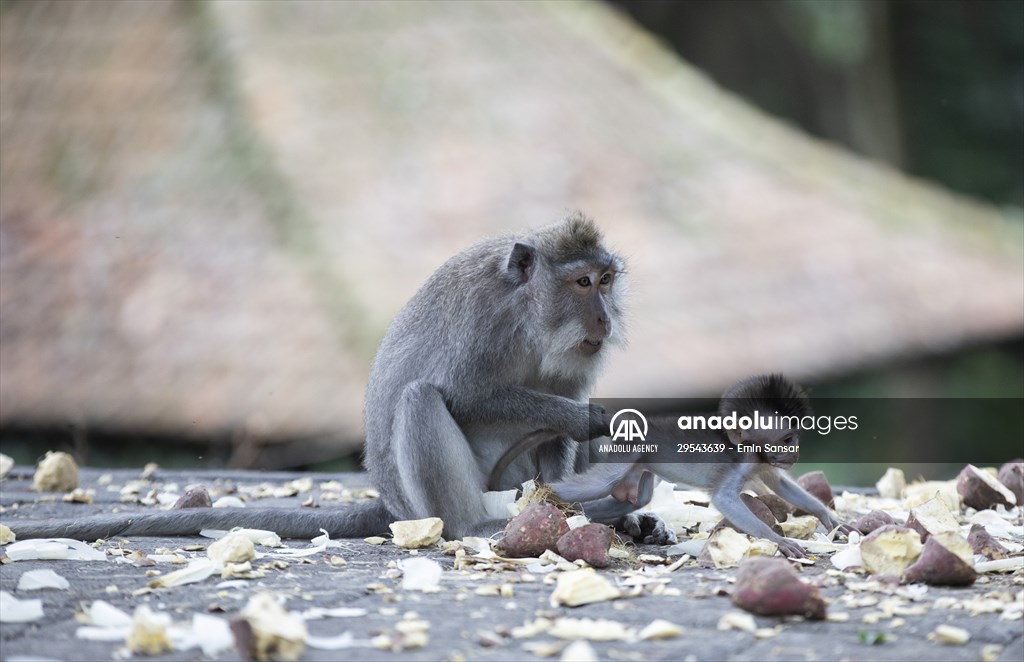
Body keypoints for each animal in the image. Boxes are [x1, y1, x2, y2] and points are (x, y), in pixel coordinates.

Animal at [11, 213, 645, 542]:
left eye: (606, 280)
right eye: (582, 283)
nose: (604, 318)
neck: (530, 319)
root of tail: (392, 508)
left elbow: (555, 436)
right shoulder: (483, 318)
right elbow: (468, 395)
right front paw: (585, 419)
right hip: (427, 502)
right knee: (419, 400)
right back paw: (472, 525)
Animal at [489, 374, 851, 558]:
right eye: (788, 438)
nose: (795, 453)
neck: (750, 453)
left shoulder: (760, 463)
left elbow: (780, 484)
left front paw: (830, 517)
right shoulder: (738, 465)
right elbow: (725, 500)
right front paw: (777, 540)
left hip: (639, 464)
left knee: (638, 495)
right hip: (626, 452)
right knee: (601, 483)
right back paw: (540, 498)